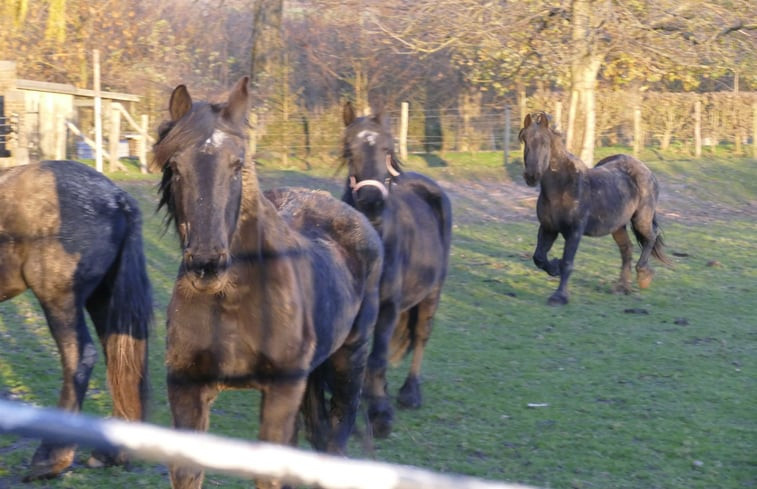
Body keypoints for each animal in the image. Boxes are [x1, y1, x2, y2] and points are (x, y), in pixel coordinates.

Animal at [0, 159, 152, 476]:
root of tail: (117, 198)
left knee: (79, 358)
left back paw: (50, 458)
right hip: (104, 301)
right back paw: (110, 454)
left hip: (60, 300)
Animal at [153, 77, 380, 488]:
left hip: (349, 360)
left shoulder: (280, 392)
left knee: (334, 441)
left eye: (237, 164)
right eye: (175, 167)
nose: (207, 265)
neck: (233, 302)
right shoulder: (186, 390)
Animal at [344, 101, 454, 436]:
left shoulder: (388, 305)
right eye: (349, 149)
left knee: (420, 336)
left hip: (432, 293)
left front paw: (380, 413)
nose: (371, 203)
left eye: (386, 148)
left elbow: (378, 355)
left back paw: (409, 393)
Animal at [516, 110, 672, 304]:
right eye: (524, 139)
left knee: (650, 237)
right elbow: (539, 257)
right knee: (627, 249)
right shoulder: (548, 228)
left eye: (545, 142)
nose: (531, 176)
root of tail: (646, 170)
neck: (562, 188)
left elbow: (568, 262)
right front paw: (554, 267)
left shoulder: (574, 232)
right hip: (617, 226)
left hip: (641, 219)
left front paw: (559, 296)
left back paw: (643, 276)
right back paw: (622, 287)